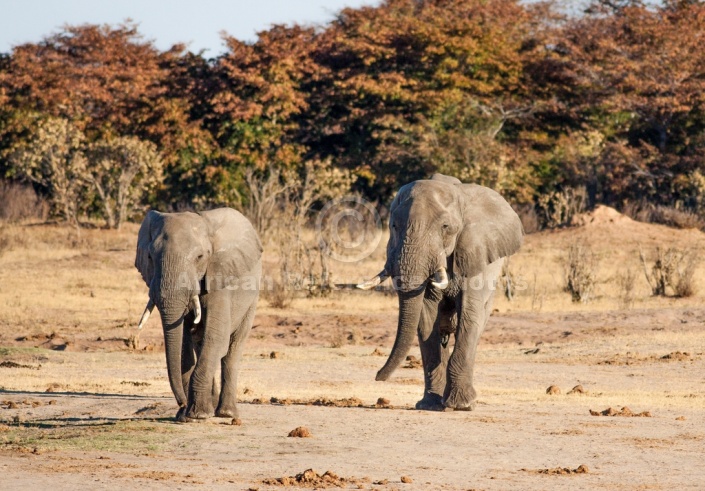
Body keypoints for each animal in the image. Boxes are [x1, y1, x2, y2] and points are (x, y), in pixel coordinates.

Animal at [134, 209, 262, 422]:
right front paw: (187, 415)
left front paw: (198, 415)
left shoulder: (219, 277)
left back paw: (226, 413)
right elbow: (184, 343)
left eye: (200, 257)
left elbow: (216, 338)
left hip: (252, 299)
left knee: (232, 348)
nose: (181, 404)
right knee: (200, 343)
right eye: (150, 257)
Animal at [358, 174, 524, 412]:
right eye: (394, 226)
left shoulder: (474, 253)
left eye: (445, 227)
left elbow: (469, 315)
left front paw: (462, 405)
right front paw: (430, 405)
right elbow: (427, 318)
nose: (378, 376)